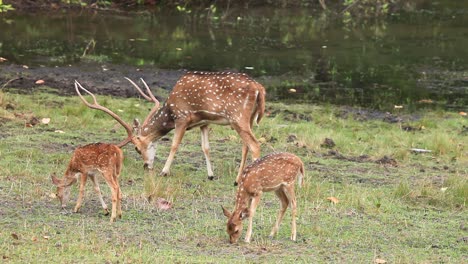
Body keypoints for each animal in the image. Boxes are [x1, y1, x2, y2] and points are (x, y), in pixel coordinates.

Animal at [74, 71, 264, 185]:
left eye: (137, 148)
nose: (146, 166)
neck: (170, 112)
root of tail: (260, 89)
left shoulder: (183, 117)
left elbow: (174, 144)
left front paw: (164, 172)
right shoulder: (204, 122)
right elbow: (206, 147)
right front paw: (210, 175)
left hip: (238, 117)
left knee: (255, 145)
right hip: (247, 120)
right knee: (246, 146)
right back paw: (237, 180)